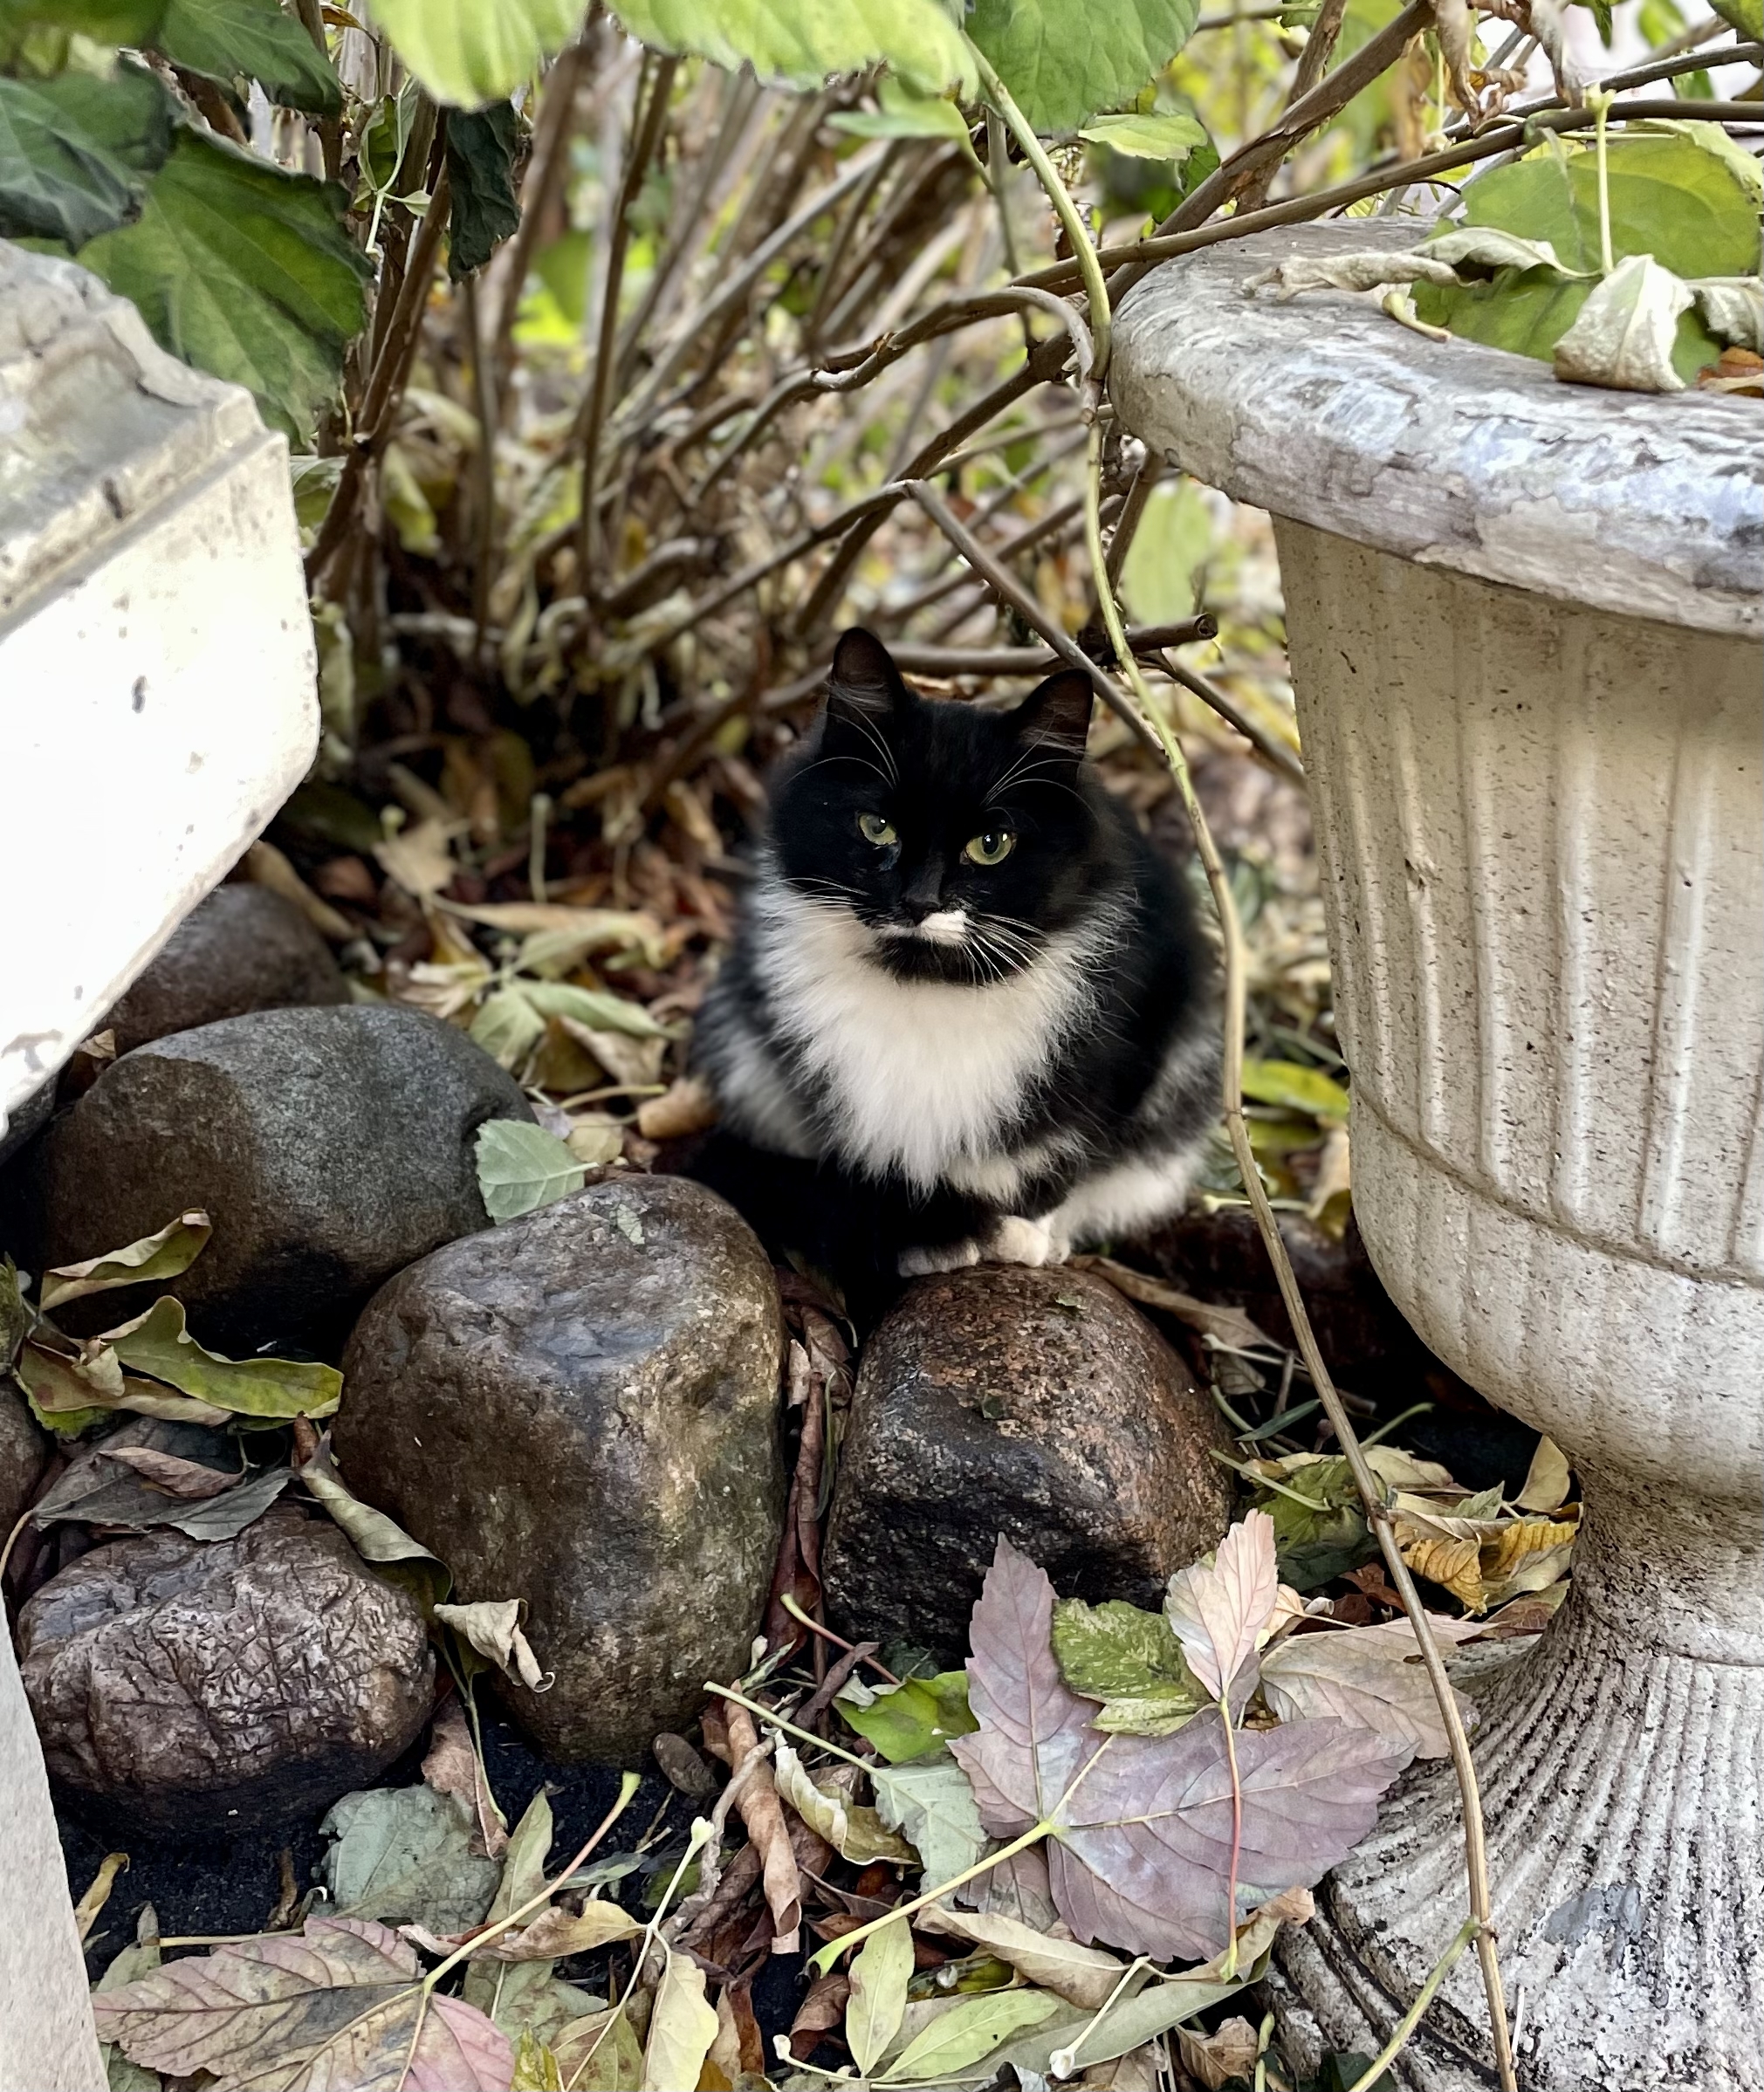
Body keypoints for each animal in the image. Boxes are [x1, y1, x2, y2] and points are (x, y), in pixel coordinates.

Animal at [694, 628, 1222, 1279]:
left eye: (991, 844)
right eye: (876, 827)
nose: (920, 900)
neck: (927, 984)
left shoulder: (1126, 1051)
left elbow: (1058, 1152)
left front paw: (1020, 1233)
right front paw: (929, 1230)